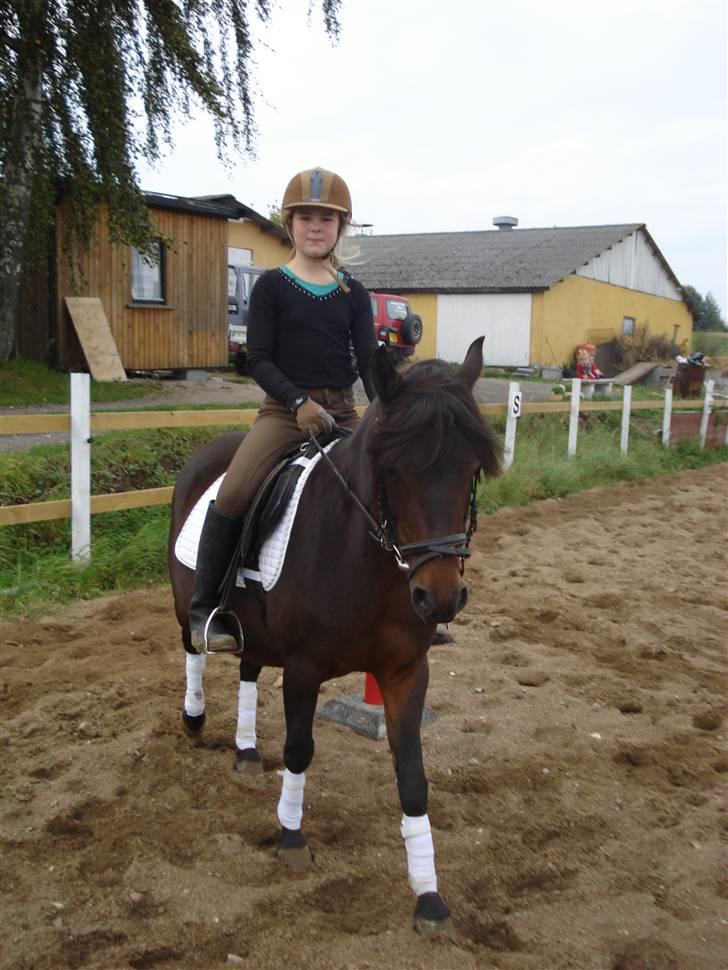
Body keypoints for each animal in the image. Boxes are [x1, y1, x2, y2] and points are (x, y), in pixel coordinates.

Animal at [167, 337, 499, 936]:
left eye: (471, 468)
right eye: (394, 468)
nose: (439, 598)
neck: (366, 556)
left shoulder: (406, 672)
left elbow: (413, 774)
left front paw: (428, 895)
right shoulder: (304, 668)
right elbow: (300, 750)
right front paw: (292, 835)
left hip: (256, 625)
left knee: (249, 667)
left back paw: (246, 749)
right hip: (188, 605)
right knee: (194, 647)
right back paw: (195, 718)